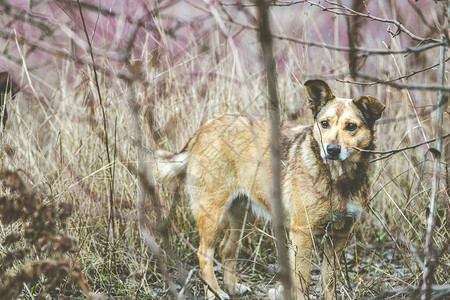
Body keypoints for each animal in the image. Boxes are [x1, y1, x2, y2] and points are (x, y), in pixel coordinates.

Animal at [151, 78, 384, 298]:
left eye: (351, 126)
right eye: (324, 124)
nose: (331, 150)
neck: (339, 177)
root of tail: (204, 128)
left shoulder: (340, 235)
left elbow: (329, 280)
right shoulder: (302, 233)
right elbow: (303, 281)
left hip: (242, 215)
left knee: (227, 249)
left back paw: (232, 287)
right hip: (211, 214)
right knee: (204, 254)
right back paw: (214, 292)